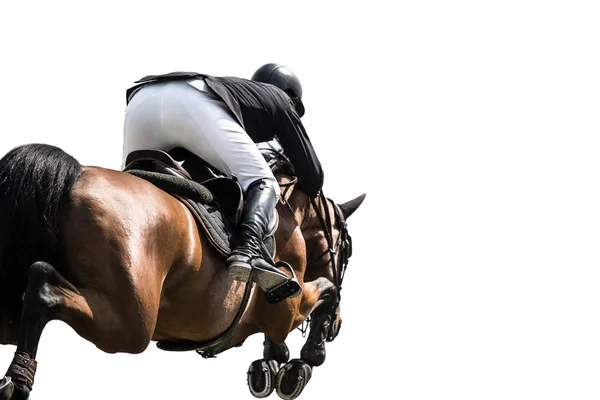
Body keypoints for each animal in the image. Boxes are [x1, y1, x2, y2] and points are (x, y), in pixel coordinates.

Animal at [0, 142, 366, 398]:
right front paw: (304, 360)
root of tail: (73, 175)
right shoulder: (287, 306)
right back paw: (18, 382)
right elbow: (326, 292)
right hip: (130, 326)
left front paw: (273, 360)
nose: (338, 328)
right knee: (43, 286)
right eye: (348, 250)